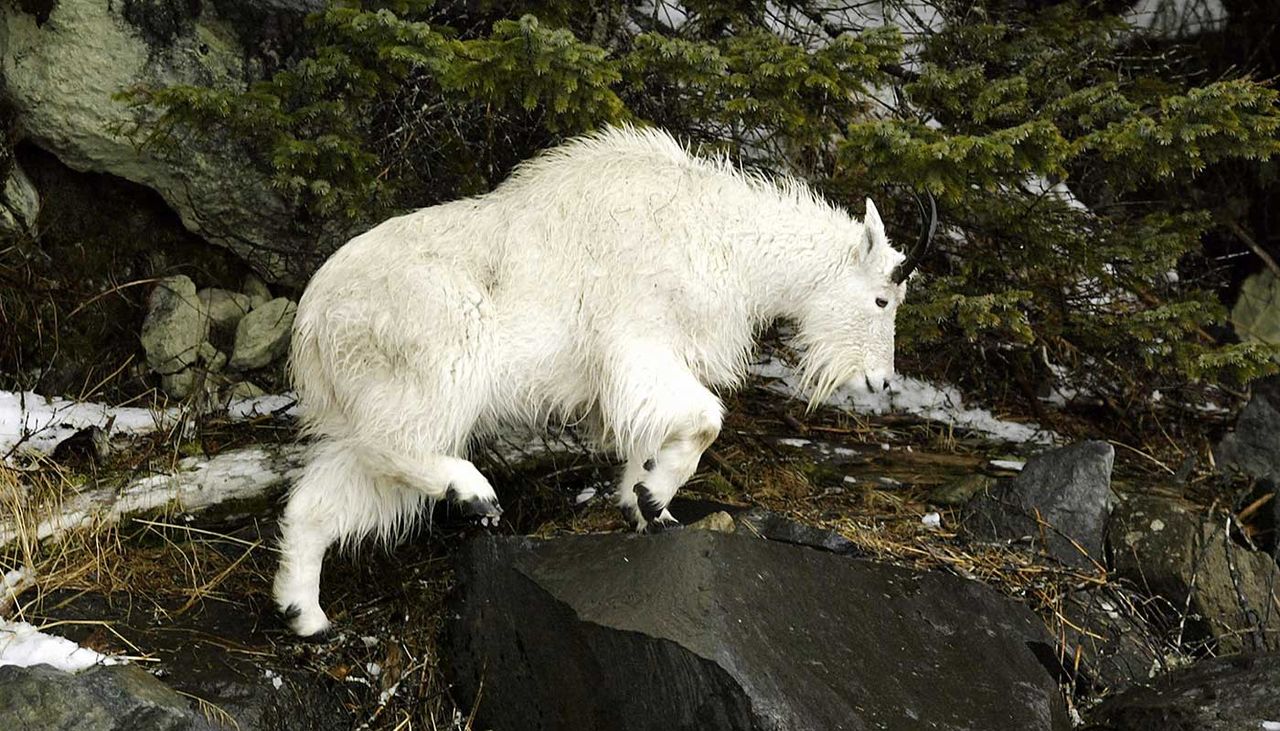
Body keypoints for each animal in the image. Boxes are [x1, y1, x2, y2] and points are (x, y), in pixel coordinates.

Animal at [275, 126, 936, 634]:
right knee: (396, 445)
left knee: (322, 496)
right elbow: (704, 420)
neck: (732, 243)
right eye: (882, 299)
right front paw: (654, 496)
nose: (880, 382)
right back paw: (475, 495)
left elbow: (650, 436)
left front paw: (644, 505)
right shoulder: (641, 344)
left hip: (363, 396)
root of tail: (313, 322)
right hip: (429, 371)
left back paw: (305, 615)